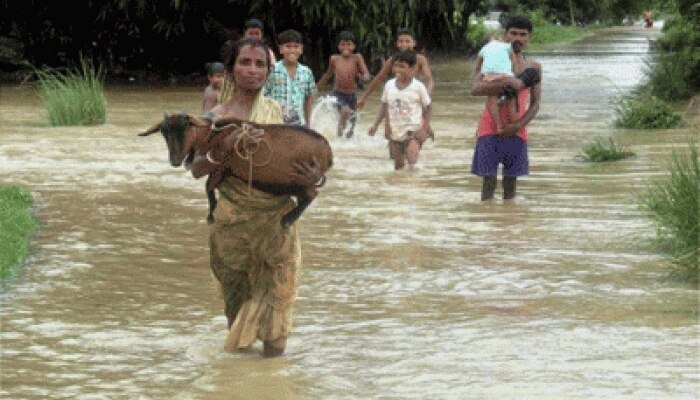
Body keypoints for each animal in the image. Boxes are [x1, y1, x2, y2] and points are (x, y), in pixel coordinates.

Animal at [140, 112, 334, 227]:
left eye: (186, 128)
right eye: (164, 133)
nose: (174, 160)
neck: (213, 135)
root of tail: (328, 150)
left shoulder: (221, 167)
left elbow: (208, 187)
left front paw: (211, 215)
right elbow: (209, 186)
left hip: (301, 177)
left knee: (312, 194)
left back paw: (289, 219)